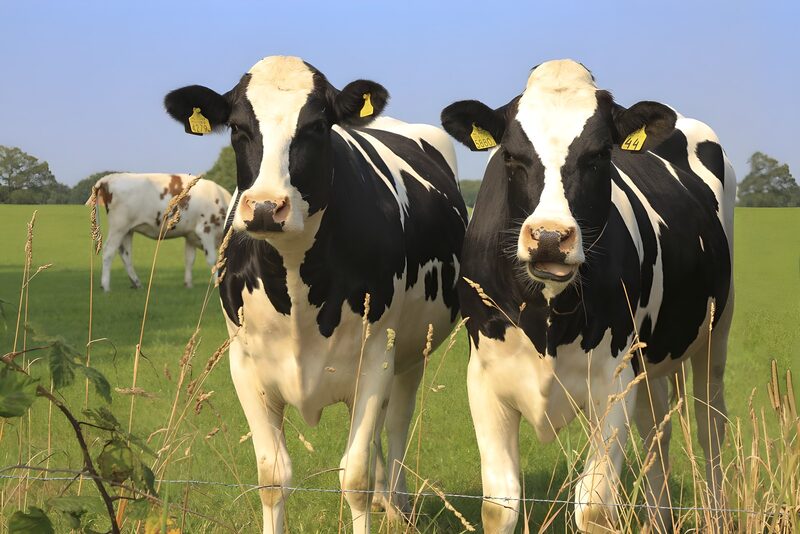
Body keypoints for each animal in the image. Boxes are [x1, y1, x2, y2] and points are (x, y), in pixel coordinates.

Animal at [88, 173, 232, 292]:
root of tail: (110, 177)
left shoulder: (190, 235)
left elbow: (189, 260)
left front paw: (188, 284)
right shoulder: (206, 229)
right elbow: (213, 260)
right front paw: (216, 283)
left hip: (127, 230)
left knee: (125, 254)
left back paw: (136, 283)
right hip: (118, 226)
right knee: (108, 251)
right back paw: (106, 286)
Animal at [163, 56, 467, 533]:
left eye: (318, 126)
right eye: (237, 127)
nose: (266, 207)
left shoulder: (376, 356)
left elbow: (355, 477)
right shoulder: (244, 365)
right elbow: (272, 477)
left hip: (410, 353)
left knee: (396, 423)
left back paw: (397, 505)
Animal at [440, 59, 735, 533]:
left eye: (598, 155)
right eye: (511, 156)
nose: (548, 237)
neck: (546, 311)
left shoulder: (611, 381)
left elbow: (595, 506)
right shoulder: (484, 378)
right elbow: (499, 505)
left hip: (715, 333)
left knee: (711, 423)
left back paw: (718, 512)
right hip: (649, 363)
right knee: (657, 428)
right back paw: (658, 518)